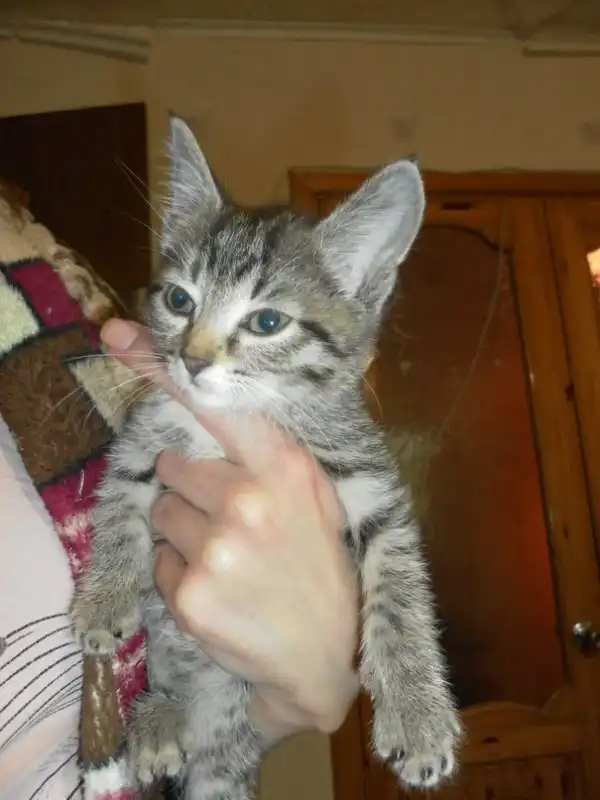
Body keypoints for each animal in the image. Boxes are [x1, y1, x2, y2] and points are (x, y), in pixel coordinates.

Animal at [70, 115, 461, 799]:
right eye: (179, 301)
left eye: (268, 322)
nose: (193, 360)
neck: (239, 418)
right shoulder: (144, 435)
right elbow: (117, 504)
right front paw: (104, 597)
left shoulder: (370, 479)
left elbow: (400, 591)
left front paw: (418, 715)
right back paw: (157, 721)